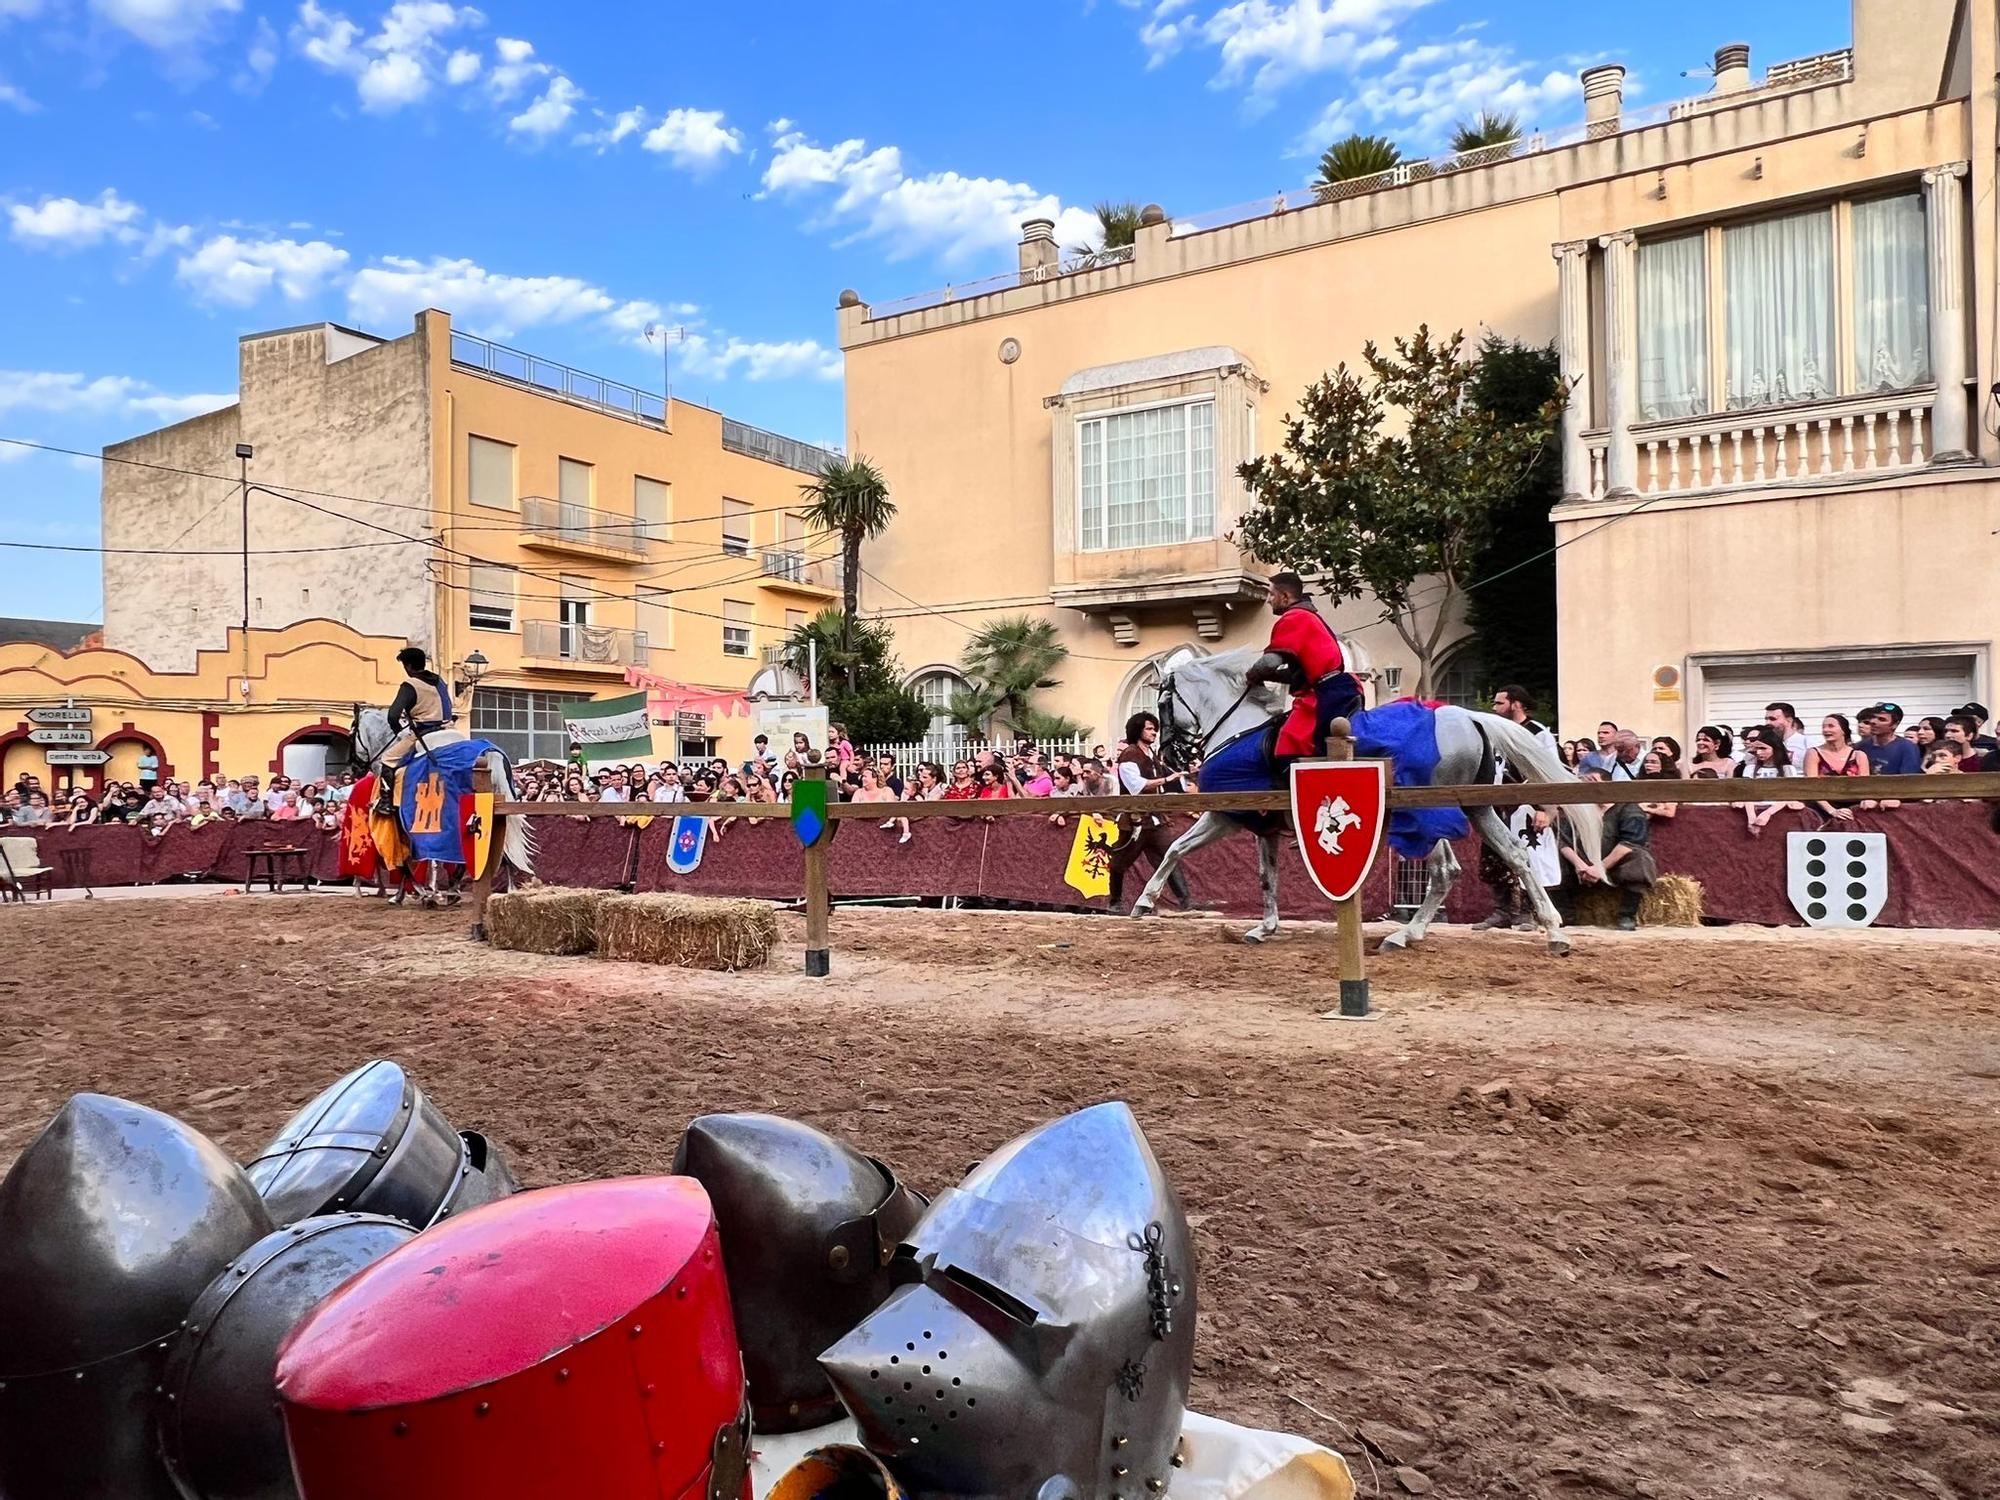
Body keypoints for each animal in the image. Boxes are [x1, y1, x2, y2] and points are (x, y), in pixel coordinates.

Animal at [352, 708, 536, 904]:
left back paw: (454, 889)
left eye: (352, 731)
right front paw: (410, 893)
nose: (354, 770)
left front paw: (421, 892)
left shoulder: (402, 821)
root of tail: (488, 753)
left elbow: (405, 859)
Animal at [1136, 648, 1600, 956]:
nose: (1170, 755)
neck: (1241, 729)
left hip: (1426, 815)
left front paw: (1144, 901)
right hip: (1475, 809)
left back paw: (1404, 934)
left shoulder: (1225, 815)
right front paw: (1264, 928)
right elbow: (1267, 877)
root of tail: (1467, 715)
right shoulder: (1262, 826)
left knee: (1446, 871)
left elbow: (1175, 848)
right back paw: (1552, 933)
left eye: (1162, 700)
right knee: (1511, 858)